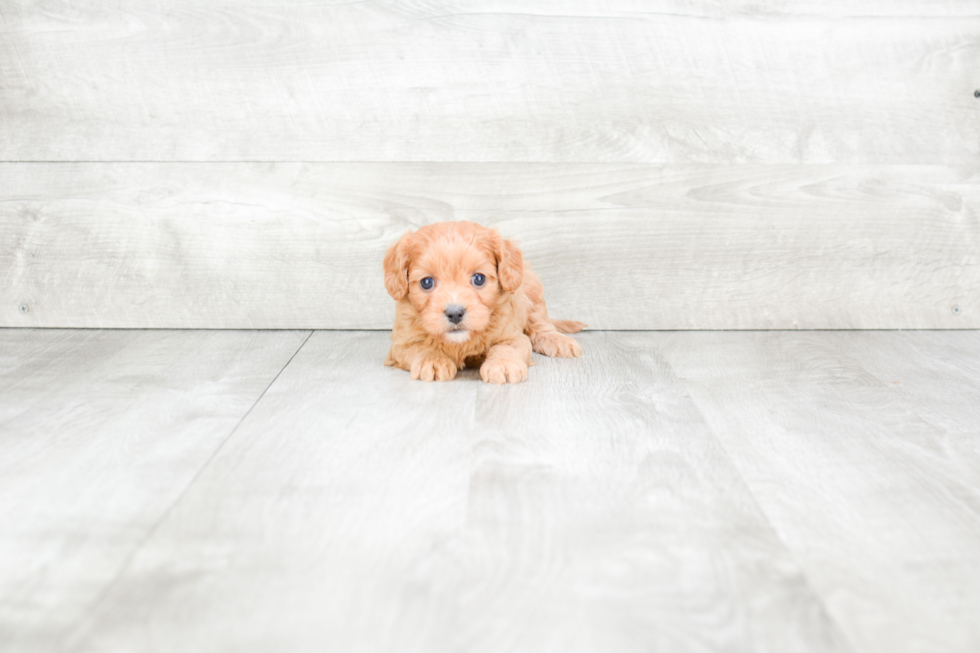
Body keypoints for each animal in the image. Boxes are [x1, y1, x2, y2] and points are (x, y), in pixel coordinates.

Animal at [380, 220, 580, 382]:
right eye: (426, 282)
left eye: (478, 279)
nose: (455, 313)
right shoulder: (400, 344)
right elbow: (420, 348)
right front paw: (433, 360)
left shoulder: (513, 336)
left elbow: (507, 347)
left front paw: (503, 364)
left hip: (532, 288)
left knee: (541, 324)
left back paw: (558, 341)